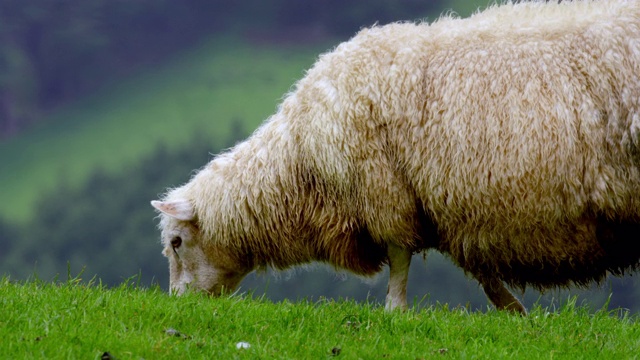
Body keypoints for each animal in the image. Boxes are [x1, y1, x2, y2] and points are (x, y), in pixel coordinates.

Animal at [151, 0, 640, 314]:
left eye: (176, 242)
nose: (178, 305)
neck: (300, 160)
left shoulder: (385, 190)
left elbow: (400, 256)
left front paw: (394, 309)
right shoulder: (446, 207)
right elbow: (477, 268)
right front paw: (512, 309)